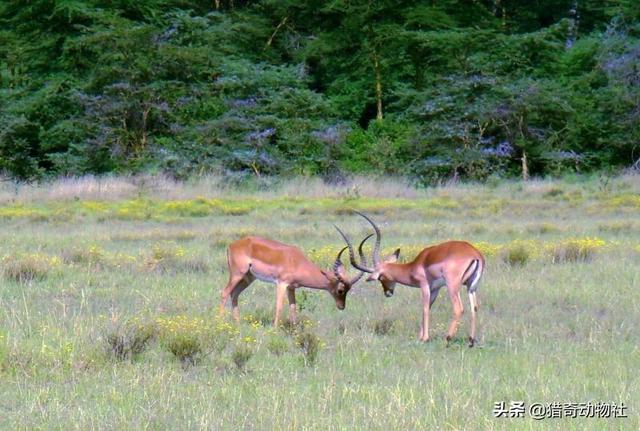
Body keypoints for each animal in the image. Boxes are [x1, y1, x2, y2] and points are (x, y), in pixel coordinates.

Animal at [219, 236, 370, 328]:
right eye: (340, 290)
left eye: (348, 290)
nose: (341, 306)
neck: (297, 261)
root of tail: (232, 245)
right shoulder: (281, 284)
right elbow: (279, 306)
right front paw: (274, 329)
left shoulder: (291, 288)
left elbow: (293, 308)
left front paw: (294, 330)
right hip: (237, 274)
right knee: (224, 292)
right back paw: (220, 322)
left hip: (248, 277)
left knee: (234, 294)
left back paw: (237, 324)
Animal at [338, 213, 482, 348]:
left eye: (381, 277)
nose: (387, 293)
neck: (415, 266)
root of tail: (475, 255)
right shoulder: (435, 288)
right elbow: (428, 307)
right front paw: (420, 337)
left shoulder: (424, 286)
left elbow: (424, 308)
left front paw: (425, 338)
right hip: (471, 287)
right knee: (474, 307)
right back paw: (471, 341)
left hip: (453, 286)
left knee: (458, 308)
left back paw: (447, 338)